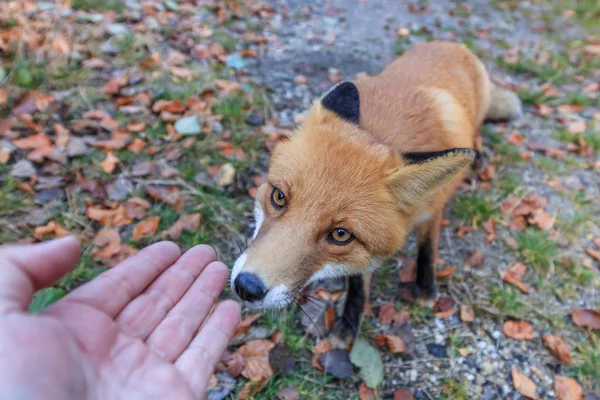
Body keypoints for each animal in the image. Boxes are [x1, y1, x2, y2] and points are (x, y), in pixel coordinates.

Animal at [230, 39, 520, 346]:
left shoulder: (434, 207)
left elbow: (428, 247)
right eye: (278, 197)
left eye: (340, 234)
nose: (247, 287)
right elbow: (359, 282)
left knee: (477, 134)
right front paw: (349, 322)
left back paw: (479, 156)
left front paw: (425, 287)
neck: (386, 131)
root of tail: (453, 43)